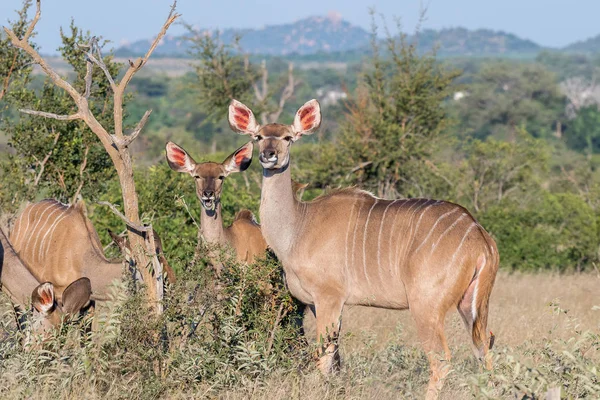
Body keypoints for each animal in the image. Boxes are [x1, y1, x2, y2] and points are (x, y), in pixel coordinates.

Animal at [227, 98, 500, 398]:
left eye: (288, 137)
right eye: (258, 136)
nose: (269, 155)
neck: (298, 225)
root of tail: (480, 236)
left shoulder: (329, 297)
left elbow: (323, 358)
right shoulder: (321, 305)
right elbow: (333, 357)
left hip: (426, 307)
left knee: (441, 359)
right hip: (471, 306)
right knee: (484, 350)